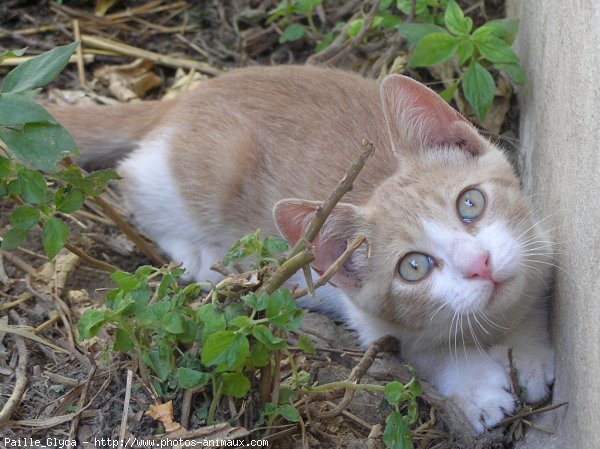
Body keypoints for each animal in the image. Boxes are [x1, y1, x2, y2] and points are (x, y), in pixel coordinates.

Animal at [49, 65, 556, 430]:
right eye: (414, 267)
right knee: (131, 182)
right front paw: (478, 389)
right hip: (203, 169)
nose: (479, 264)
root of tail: (184, 98)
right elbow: (427, 353)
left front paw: (529, 355)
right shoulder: (374, 327)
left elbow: (532, 297)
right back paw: (200, 257)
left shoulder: (538, 248)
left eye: (470, 203)